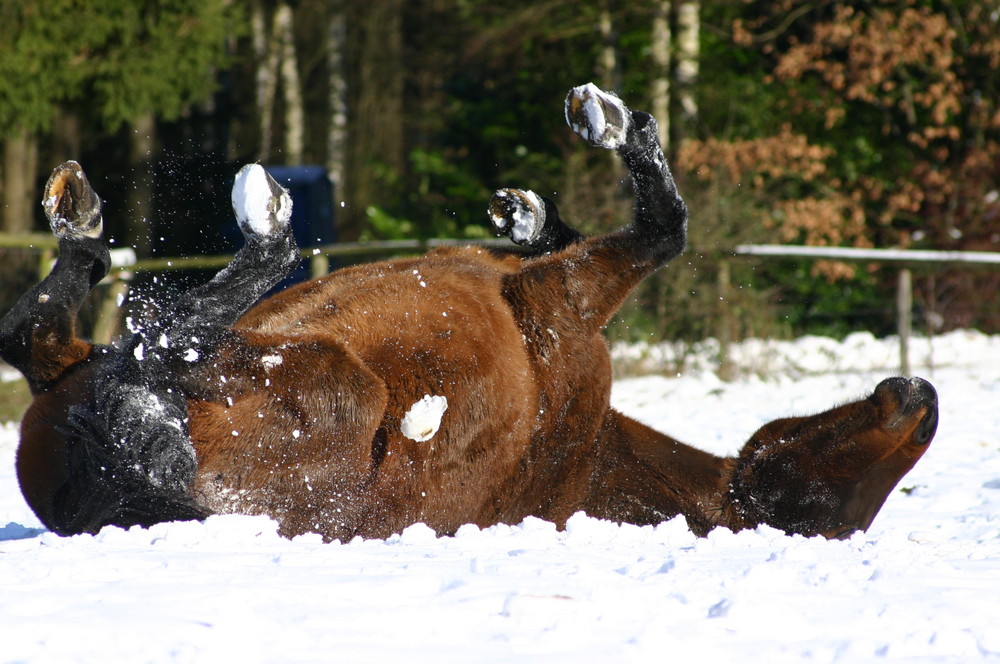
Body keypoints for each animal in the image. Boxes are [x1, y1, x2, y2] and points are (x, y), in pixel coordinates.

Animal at [1, 84, 936, 540]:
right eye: (825, 484)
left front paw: (610, 129)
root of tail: (113, 497)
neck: (585, 449)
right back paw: (81, 218)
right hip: (79, 376)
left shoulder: (565, 298)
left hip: (333, 384)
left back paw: (259, 222)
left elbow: (665, 230)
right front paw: (528, 211)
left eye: (815, 507)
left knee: (153, 335)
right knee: (43, 333)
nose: (919, 399)